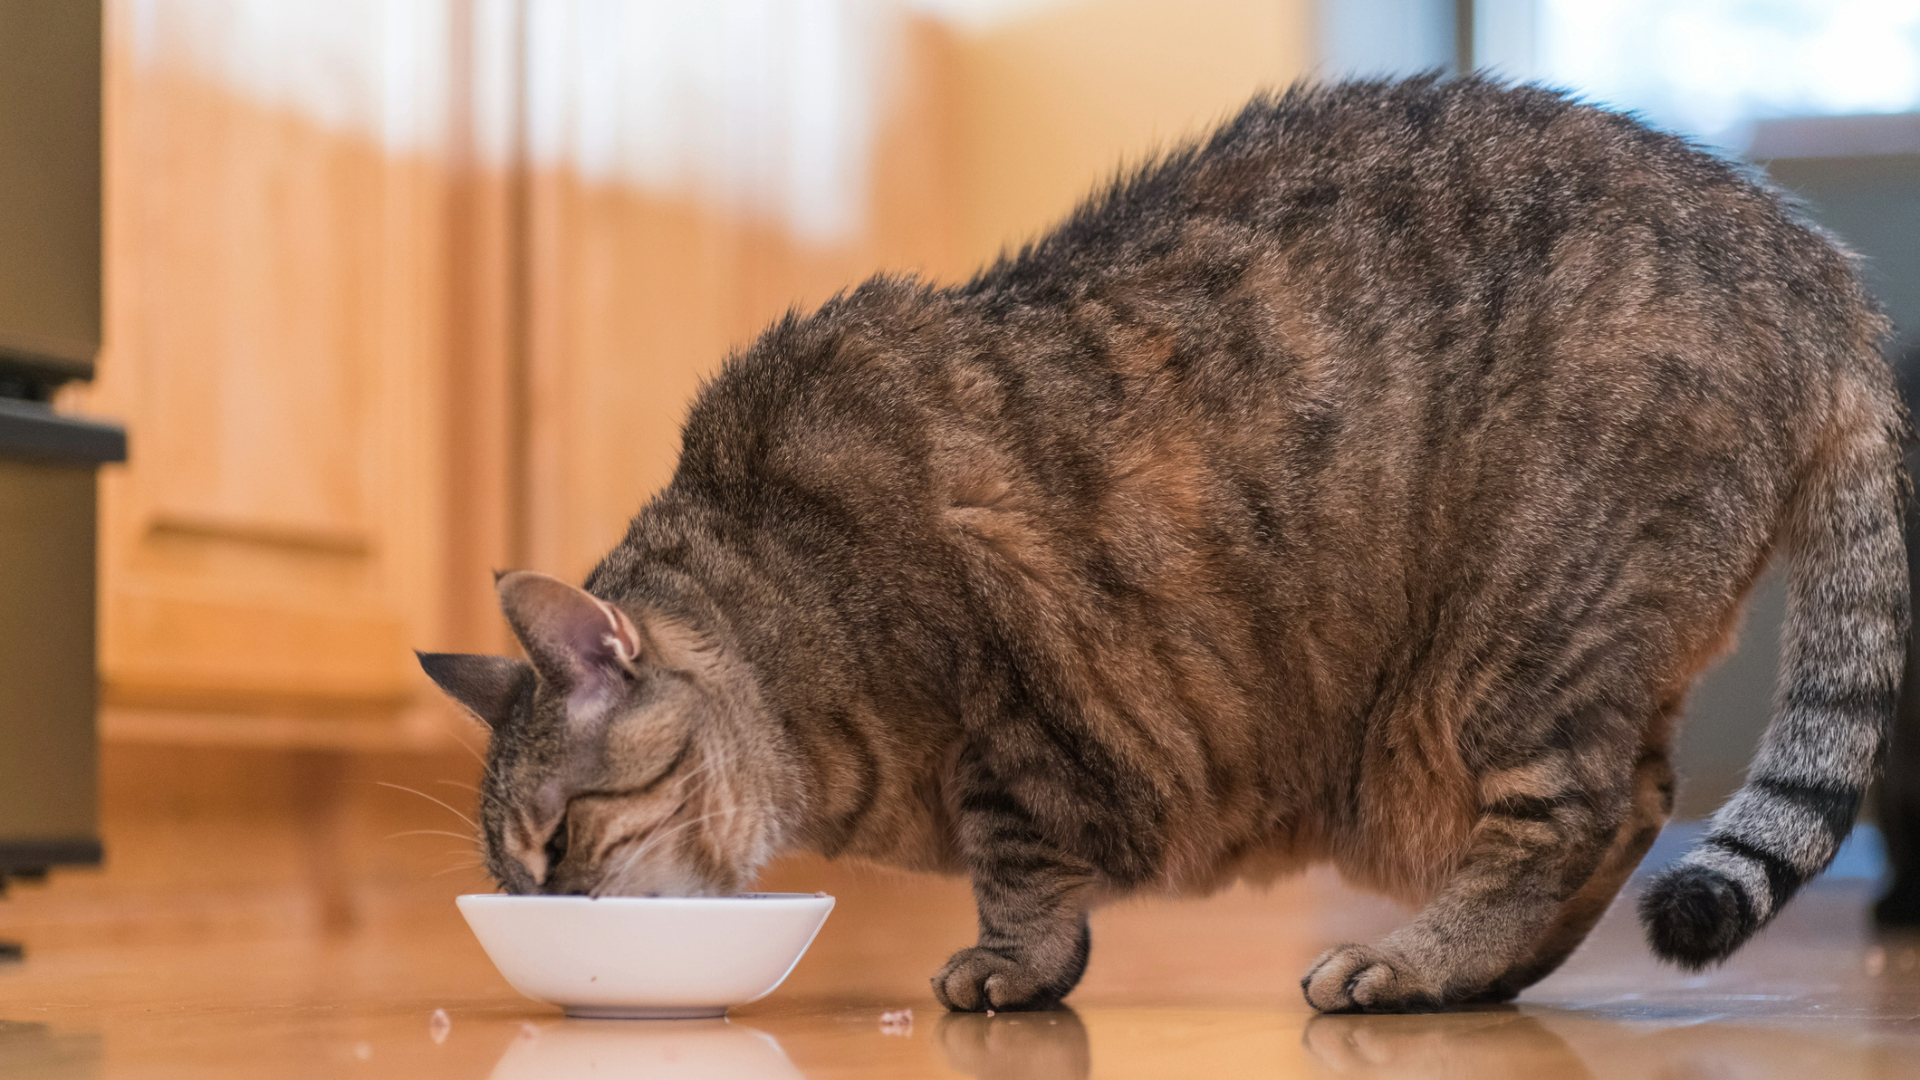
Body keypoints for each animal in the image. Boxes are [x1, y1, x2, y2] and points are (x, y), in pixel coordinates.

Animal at [416, 77, 1904, 1006]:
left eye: (558, 840)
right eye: (513, 874)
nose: (550, 920)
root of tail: (1809, 260)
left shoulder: (1009, 709)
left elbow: (1016, 864)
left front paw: (1012, 967)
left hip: (1516, 640)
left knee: (1582, 816)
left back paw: (1419, 962)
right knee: (1634, 805)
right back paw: (1480, 971)